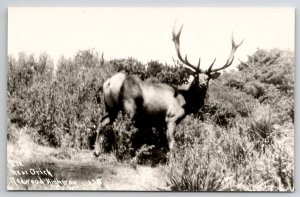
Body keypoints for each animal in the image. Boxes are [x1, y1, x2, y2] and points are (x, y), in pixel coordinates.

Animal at [94, 24, 244, 157]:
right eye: (196, 76)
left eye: (208, 78)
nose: (202, 85)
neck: (186, 103)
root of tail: (109, 82)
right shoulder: (171, 117)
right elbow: (171, 144)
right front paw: (172, 162)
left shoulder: (159, 121)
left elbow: (162, 143)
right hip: (129, 106)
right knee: (121, 127)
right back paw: (122, 152)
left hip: (111, 106)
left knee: (102, 121)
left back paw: (97, 150)